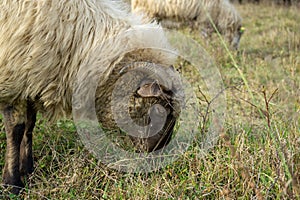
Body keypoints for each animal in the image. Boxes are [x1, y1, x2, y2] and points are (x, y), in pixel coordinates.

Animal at [0, 0, 182, 194]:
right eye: (160, 111)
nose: (160, 155)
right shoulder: (12, 82)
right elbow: (16, 130)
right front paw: (12, 183)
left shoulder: (28, 82)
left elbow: (29, 126)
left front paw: (27, 170)